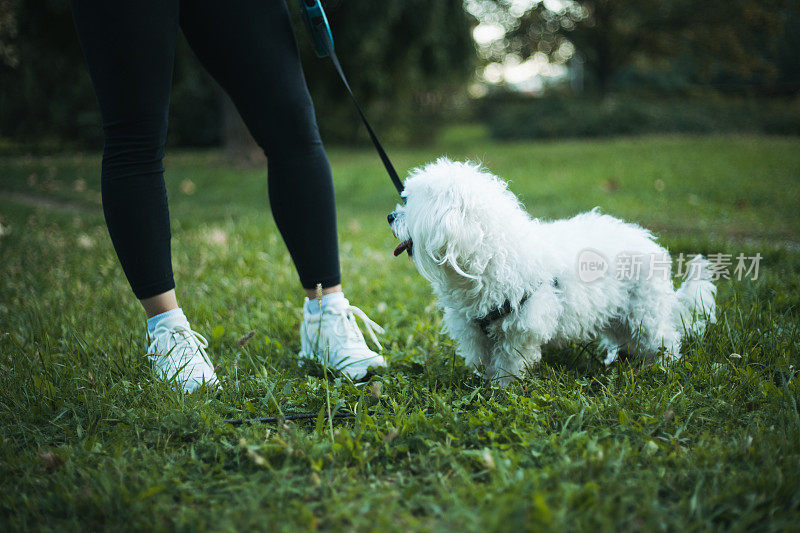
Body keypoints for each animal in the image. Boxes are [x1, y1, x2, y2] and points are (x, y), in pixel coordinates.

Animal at [390, 157, 720, 382]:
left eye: (411, 205)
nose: (390, 216)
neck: (490, 253)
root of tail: (648, 240)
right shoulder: (472, 328)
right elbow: (482, 359)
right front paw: (481, 382)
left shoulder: (521, 328)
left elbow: (508, 363)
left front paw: (501, 388)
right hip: (617, 313)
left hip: (644, 311)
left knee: (664, 340)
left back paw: (663, 366)